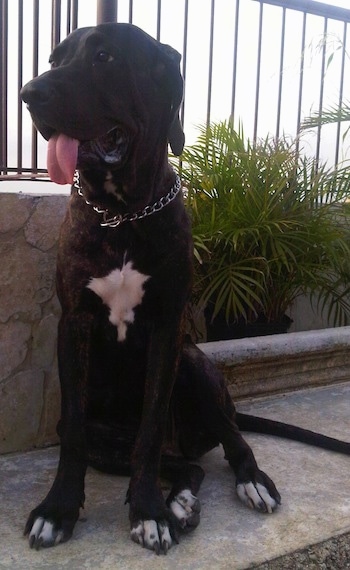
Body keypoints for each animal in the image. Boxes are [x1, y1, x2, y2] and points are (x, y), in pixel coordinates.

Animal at [21, 22, 350, 552]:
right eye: (54, 60)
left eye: (105, 57)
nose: (31, 93)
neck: (122, 212)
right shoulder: (74, 324)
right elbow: (73, 433)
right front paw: (58, 510)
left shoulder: (167, 328)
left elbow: (152, 427)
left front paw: (148, 512)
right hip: (109, 441)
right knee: (182, 466)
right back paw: (180, 501)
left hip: (197, 367)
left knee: (226, 441)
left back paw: (244, 483)